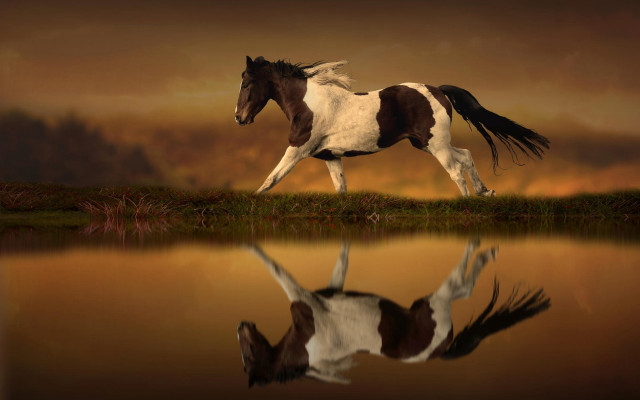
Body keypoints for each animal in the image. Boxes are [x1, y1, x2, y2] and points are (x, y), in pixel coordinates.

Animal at [235, 56, 550, 196]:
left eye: (247, 83)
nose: (239, 117)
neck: (309, 103)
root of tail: (438, 89)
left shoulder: (298, 149)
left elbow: (272, 179)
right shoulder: (331, 157)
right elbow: (341, 188)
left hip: (435, 145)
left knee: (456, 170)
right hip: (426, 143)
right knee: (467, 156)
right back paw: (485, 192)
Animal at [237, 240, 550, 386]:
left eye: (249, 357)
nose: (241, 325)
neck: (308, 342)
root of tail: (440, 350)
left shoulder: (304, 297)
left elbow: (277, 270)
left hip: (434, 302)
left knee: (462, 286)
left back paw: (489, 253)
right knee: (463, 290)